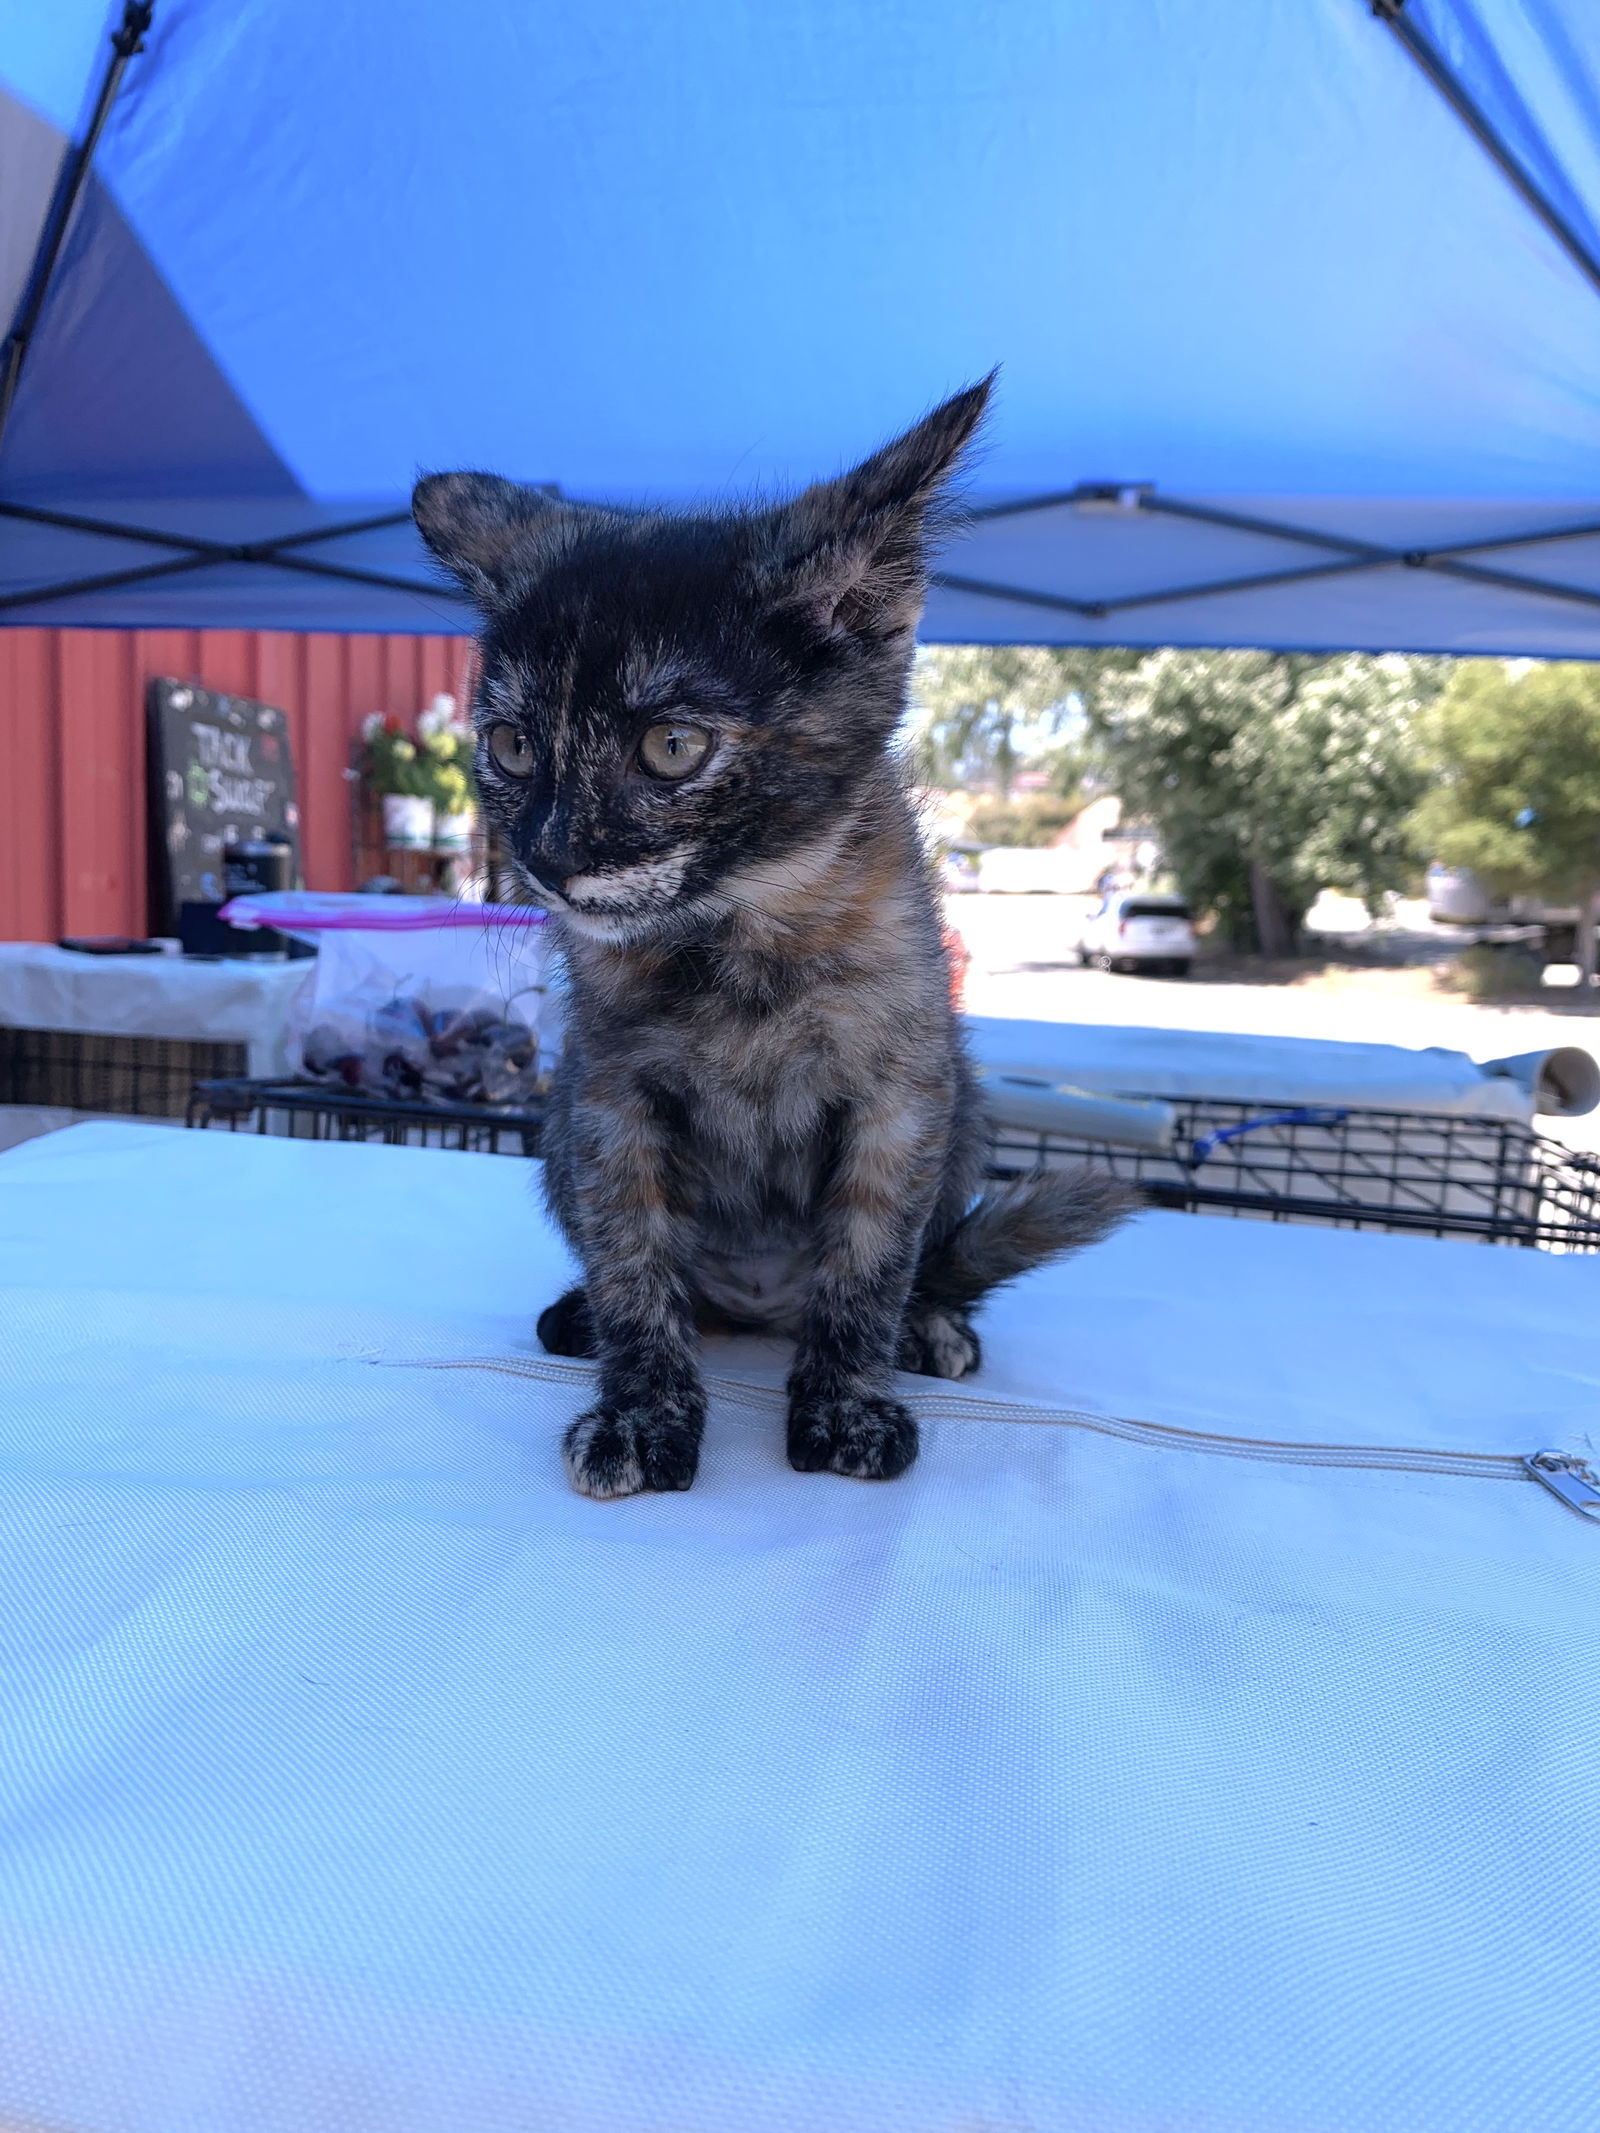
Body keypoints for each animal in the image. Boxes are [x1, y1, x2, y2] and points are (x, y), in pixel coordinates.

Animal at [420, 371, 1134, 1501]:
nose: (549, 856)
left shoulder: (902, 1095)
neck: (738, 938)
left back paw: (930, 1325)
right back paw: (585, 1316)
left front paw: (844, 1403)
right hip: (557, 1126)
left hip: (967, 1104)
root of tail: (756, 1309)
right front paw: (641, 1409)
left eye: (671, 746)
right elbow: (633, 1266)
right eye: (511, 745)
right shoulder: (606, 1101)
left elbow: (868, 1265)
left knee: (923, 1267)